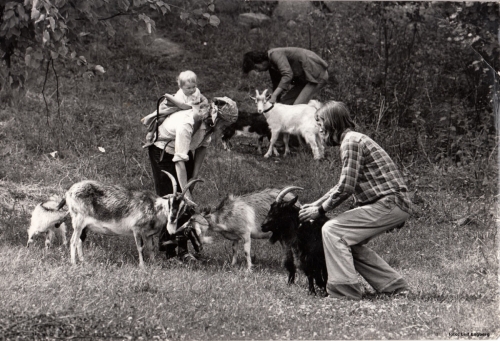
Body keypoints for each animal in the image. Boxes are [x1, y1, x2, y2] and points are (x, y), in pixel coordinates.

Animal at [56, 173, 201, 268]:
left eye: (183, 206)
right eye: (170, 202)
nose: (172, 218)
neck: (154, 207)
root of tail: (68, 192)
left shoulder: (148, 234)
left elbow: (151, 248)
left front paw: (154, 263)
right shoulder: (136, 229)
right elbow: (140, 247)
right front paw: (142, 266)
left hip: (84, 226)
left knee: (80, 241)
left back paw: (83, 261)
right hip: (78, 221)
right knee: (73, 241)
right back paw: (74, 264)